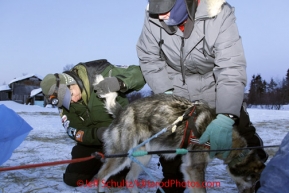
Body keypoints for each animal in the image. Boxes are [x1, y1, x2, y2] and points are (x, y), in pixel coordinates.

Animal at [94, 76, 264, 192]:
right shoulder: (195, 168)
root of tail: (121, 111)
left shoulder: (189, 168)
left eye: (256, 180)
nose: (252, 192)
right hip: (120, 156)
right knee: (100, 177)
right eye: (252, 178)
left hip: (143, 156)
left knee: (129, 179)